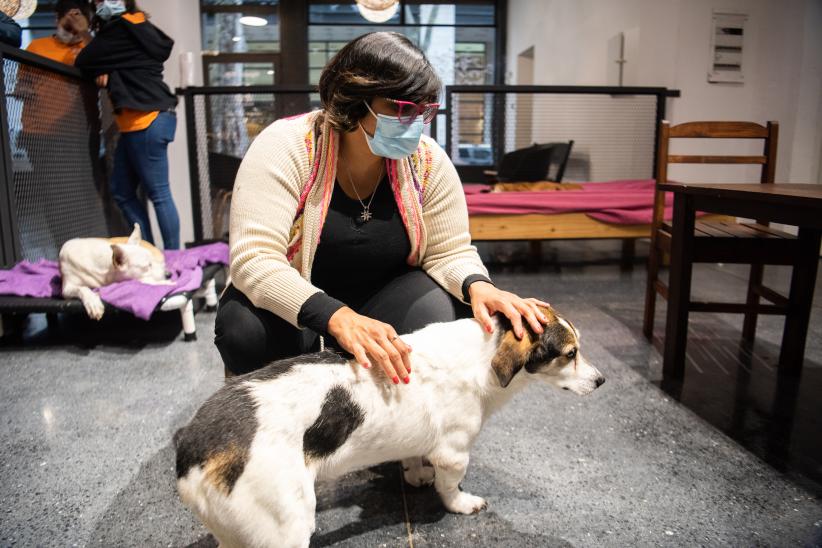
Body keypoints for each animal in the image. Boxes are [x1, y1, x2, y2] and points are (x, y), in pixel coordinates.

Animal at [175, 306, 604, 544]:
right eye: (570, 354)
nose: (601, 381)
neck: (484, 355)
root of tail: (191, 446)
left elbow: (413, 459)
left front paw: (414, 474)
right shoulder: (453, 454)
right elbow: (449, 488)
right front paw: (461, 503)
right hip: (287, 524)